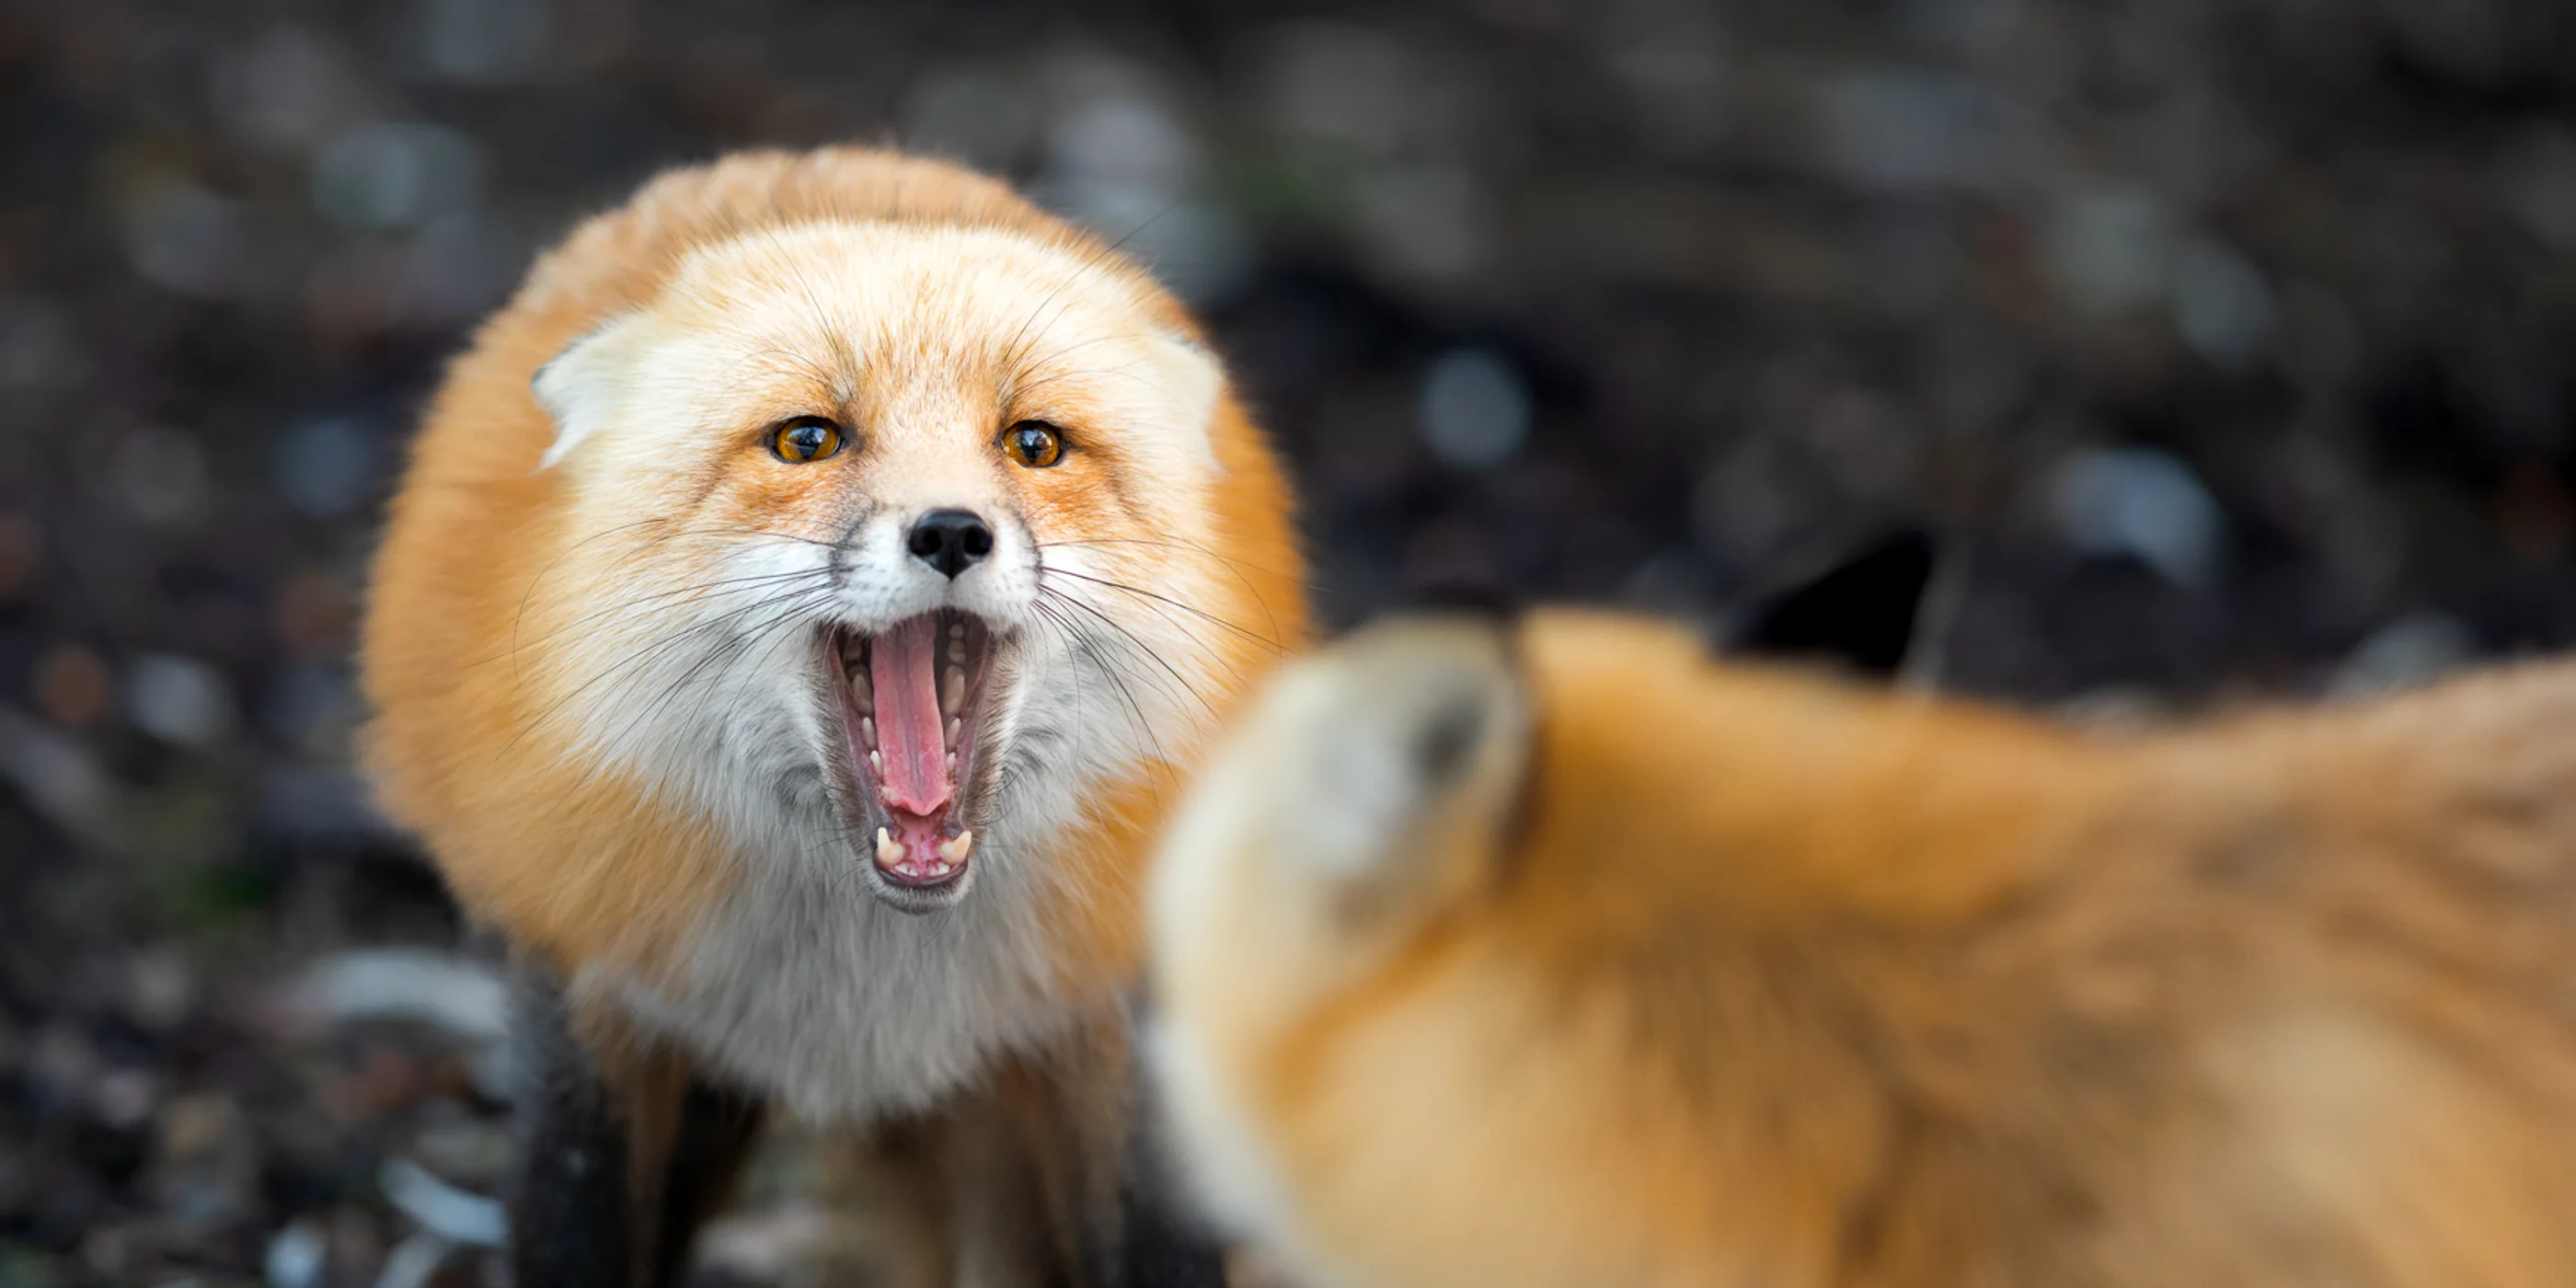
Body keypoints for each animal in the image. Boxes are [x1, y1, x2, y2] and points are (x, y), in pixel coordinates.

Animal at [358, 146, 1306, 1287]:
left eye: (1035, 444)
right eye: (806, 439)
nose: (952, 531)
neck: (863, 993)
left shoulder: (1113, 1025)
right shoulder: (589, 999)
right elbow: (573, 1233)